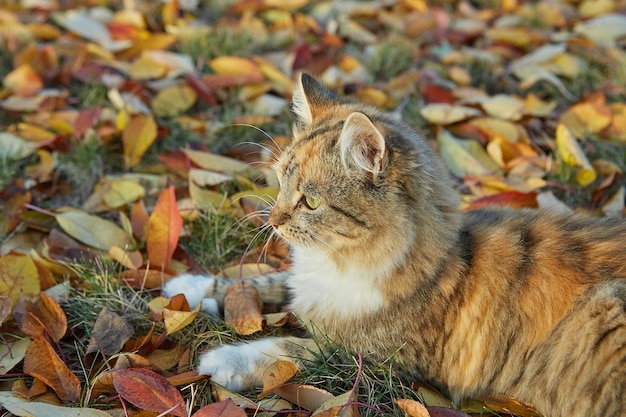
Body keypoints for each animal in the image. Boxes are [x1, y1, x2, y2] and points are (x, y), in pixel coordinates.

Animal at [165, 73, 624, 414]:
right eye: (280, 183)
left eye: (310, 201)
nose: (273, 221)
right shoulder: (303, 286)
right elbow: (255, 283)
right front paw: (185, 292)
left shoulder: (371, 357)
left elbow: (286, 348)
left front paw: (222, 359)